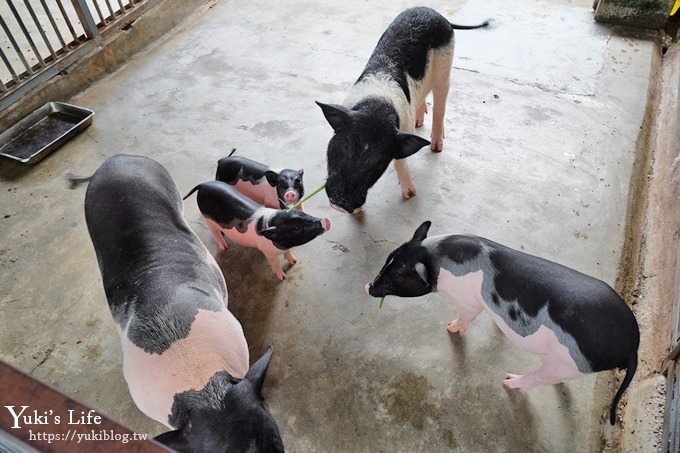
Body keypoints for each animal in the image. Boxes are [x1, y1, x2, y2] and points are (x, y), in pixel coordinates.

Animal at [181, 180, 330, 278]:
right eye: (297, 228)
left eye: (302, 214)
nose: (325, 221)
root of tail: (203, 185)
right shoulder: (268, 253)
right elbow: (275, 264)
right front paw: (282, 277)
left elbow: (288, 253)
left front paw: (294, 261)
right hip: (208, 220)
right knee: (214, 233)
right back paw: (224, 247)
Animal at [318, 6, 488, 212]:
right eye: (344, 146)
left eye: (379, 163)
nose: (340, 205)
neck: (377, 106)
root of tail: (437, 14)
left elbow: (401, 162)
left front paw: (410, 194)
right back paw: (420, 120)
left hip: (445, 67)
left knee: (440, 106)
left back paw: (436, 147)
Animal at [366, 221, 636, 426]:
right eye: (388, 260)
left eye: (397, 278)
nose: (368, 286)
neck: (435, 260)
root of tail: (632, 345)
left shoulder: (467, 301)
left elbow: (466, 316)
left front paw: (450, 327)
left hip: (567, 362)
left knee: (538, 378)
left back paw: (508, 380)